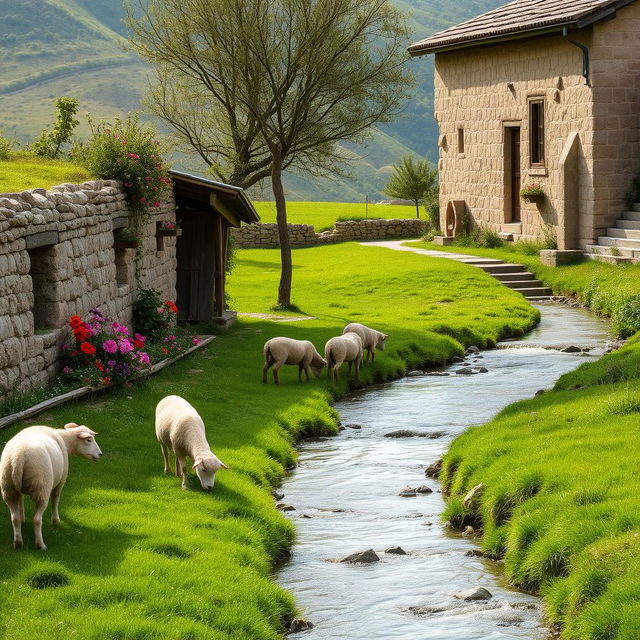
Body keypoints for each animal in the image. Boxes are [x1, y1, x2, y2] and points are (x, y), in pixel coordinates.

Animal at [0, 424, 101, 552]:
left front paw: (23, 519)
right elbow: (56, 498)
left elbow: (21, 502)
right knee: (37, 519)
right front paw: (56, 521)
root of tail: (18, 458)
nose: (100, 454)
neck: (65, 441)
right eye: (89, 440)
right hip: (41, 487)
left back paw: (18, 542)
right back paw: (40, 545)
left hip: (8, 486)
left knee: (14, 518)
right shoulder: (62, 479)